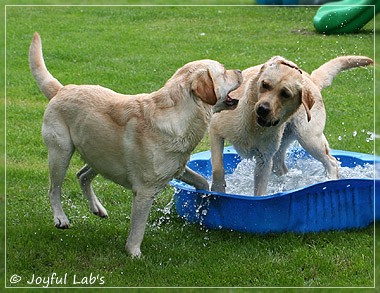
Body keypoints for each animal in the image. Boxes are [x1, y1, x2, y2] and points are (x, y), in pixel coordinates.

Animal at [29, 32, 243, 256]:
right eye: (224, 71)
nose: (239, 71)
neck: (181, 115)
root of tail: (62, 89)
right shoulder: (144, 192)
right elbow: (138, 228)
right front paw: (134, 254)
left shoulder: (178, 167)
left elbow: (201, 180)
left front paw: (204, 201)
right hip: (60, 153)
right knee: (54, 189)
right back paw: (60, 218)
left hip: (99, 155)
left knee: (82, 175)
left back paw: (97, 208)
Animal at [211, 55, 374, 195]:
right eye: (264, 85)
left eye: (285, 94)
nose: (262, 109)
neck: (254, 125)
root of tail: (311, 79)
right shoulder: (216, 131)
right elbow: (218, 167)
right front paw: (218, 189)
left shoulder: (264, 159)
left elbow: (260, 191)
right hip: (283, 147)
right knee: (282, 169)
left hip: (309, 138)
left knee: (332, 162)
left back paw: (329, 181)